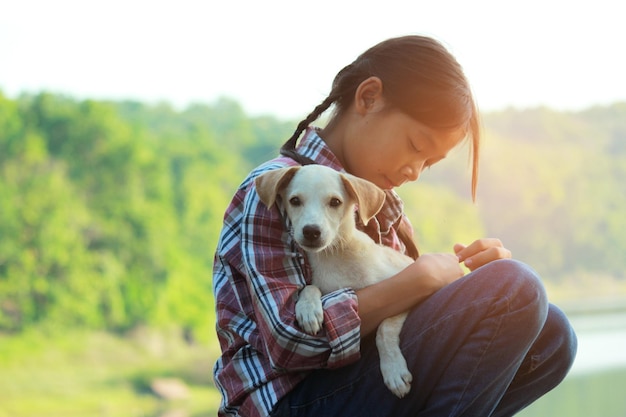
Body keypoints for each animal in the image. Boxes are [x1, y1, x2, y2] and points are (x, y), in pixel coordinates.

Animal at [254, 162, 414, 396]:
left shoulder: (405, 282)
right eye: (295, 201)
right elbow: (309, 287)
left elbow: (384, 329)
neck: (334, 255)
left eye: (335, 202)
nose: (311, 231)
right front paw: (309, 310)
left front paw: (393, 370)